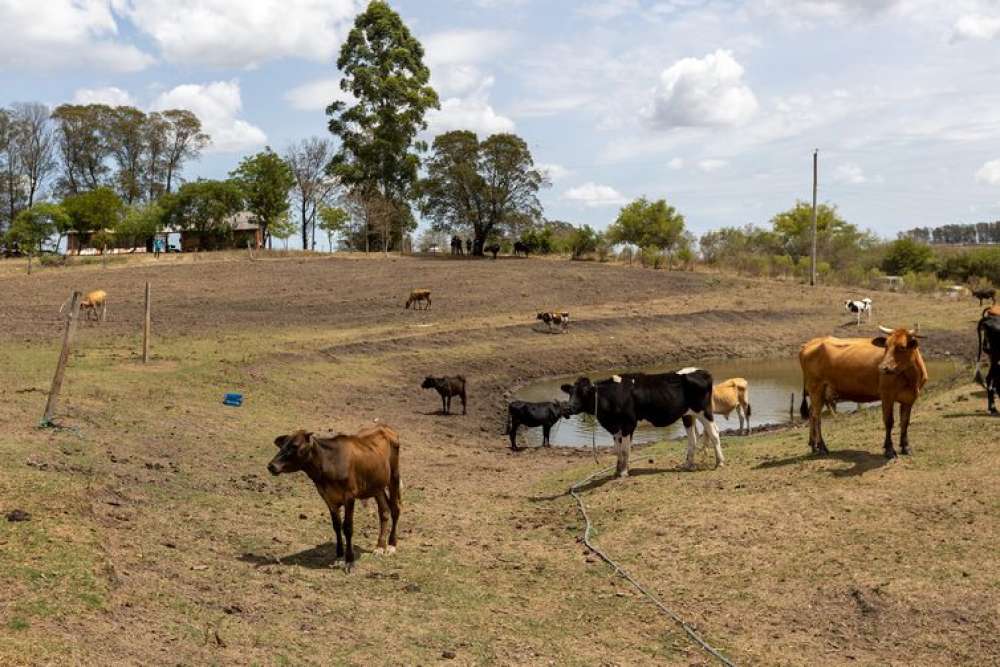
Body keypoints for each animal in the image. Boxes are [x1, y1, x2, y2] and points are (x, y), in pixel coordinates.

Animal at [270, 426, 406, 572]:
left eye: (295, 446)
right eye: (282, 445)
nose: (271, 465)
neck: (329, 463)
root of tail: (384, 427)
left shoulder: (349, 496)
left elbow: (347, 527)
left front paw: (350, 561)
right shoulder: (328, 498)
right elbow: (336, 526)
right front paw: (340, 557)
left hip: (394, 476)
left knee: (395, 509)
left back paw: (391, 546)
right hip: (376, 485)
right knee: (384, 511)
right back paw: (380, 547)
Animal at [564, 368, 720, 478]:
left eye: (584, 392)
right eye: (570, 392)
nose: (568, 408)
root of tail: (702, 371)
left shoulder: (628, 424)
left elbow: (625, 449)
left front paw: (623, 472)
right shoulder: (614, 427)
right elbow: (617, 450)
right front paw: (617, 470)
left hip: (704, 411)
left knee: (714, 433)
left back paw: (719, 462)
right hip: (688, 415)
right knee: (693, 439)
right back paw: (688, 465)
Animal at [796, 324, 928, 460]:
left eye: (902, 347)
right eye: (886, 346)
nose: (883, 368)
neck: (910, 378)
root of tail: (810, 343)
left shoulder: (909, 398)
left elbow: (905, 422)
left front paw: (906, 447)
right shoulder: (887, 395)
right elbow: (889, 421)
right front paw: (889, 450)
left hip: (820, 393)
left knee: (811, 412)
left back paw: (813, 445)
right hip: (816, 387)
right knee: (816, 416)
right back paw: (822, 447)